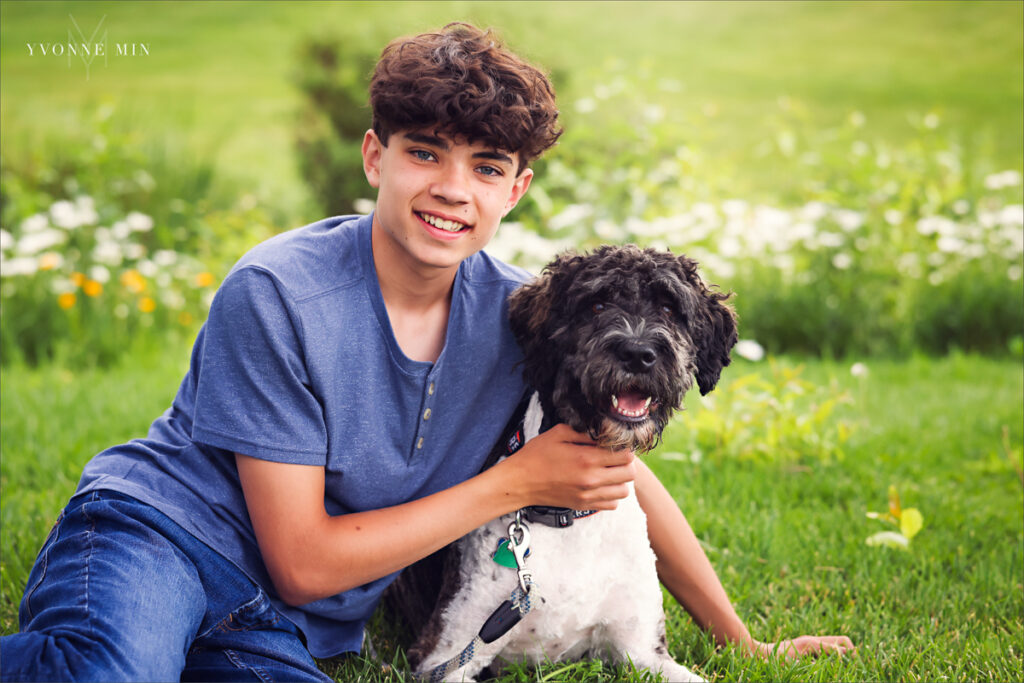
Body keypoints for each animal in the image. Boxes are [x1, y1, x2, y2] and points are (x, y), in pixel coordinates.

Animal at [391, 244, 737, 679]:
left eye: (669, 307)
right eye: (596, 304)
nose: (638, 353)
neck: (571, 516)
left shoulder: (645, 653)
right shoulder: (443, 657)